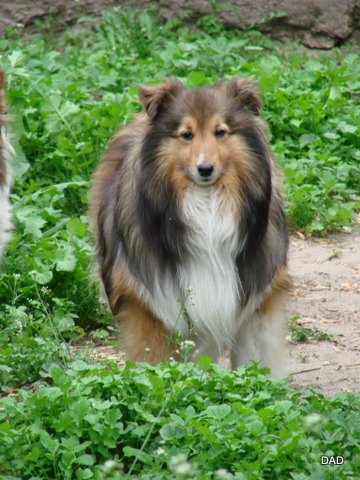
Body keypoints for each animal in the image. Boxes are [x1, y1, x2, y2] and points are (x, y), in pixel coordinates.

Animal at [90, 77, 290, 374]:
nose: (205, 169)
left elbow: (256, 357)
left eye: (220, 132)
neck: (206, 206)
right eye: (186, 135)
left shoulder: (257, 297)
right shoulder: (149, 304)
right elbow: (154, 358)